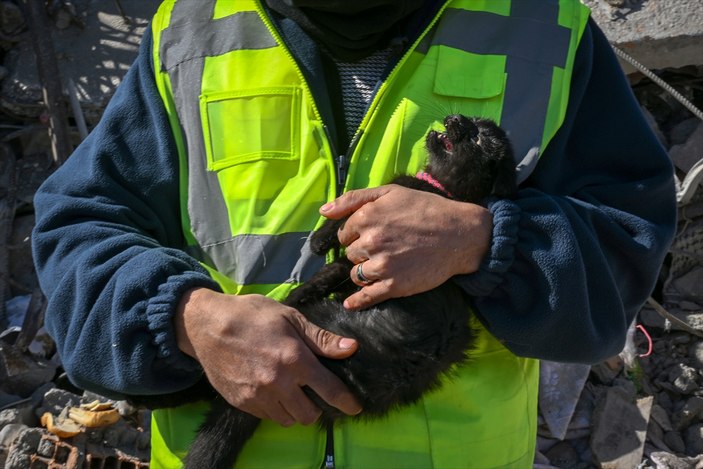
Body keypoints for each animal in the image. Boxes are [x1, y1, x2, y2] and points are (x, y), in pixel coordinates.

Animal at [129, 114, 516, 468]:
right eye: (472, 123)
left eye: (478, 137)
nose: (455, 117)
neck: (445, 191)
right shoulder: (357, 260)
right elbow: (333, 262)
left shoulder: (371, 230)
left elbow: (337, 232)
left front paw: (312, 251)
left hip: (317, 322)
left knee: (212, 383)